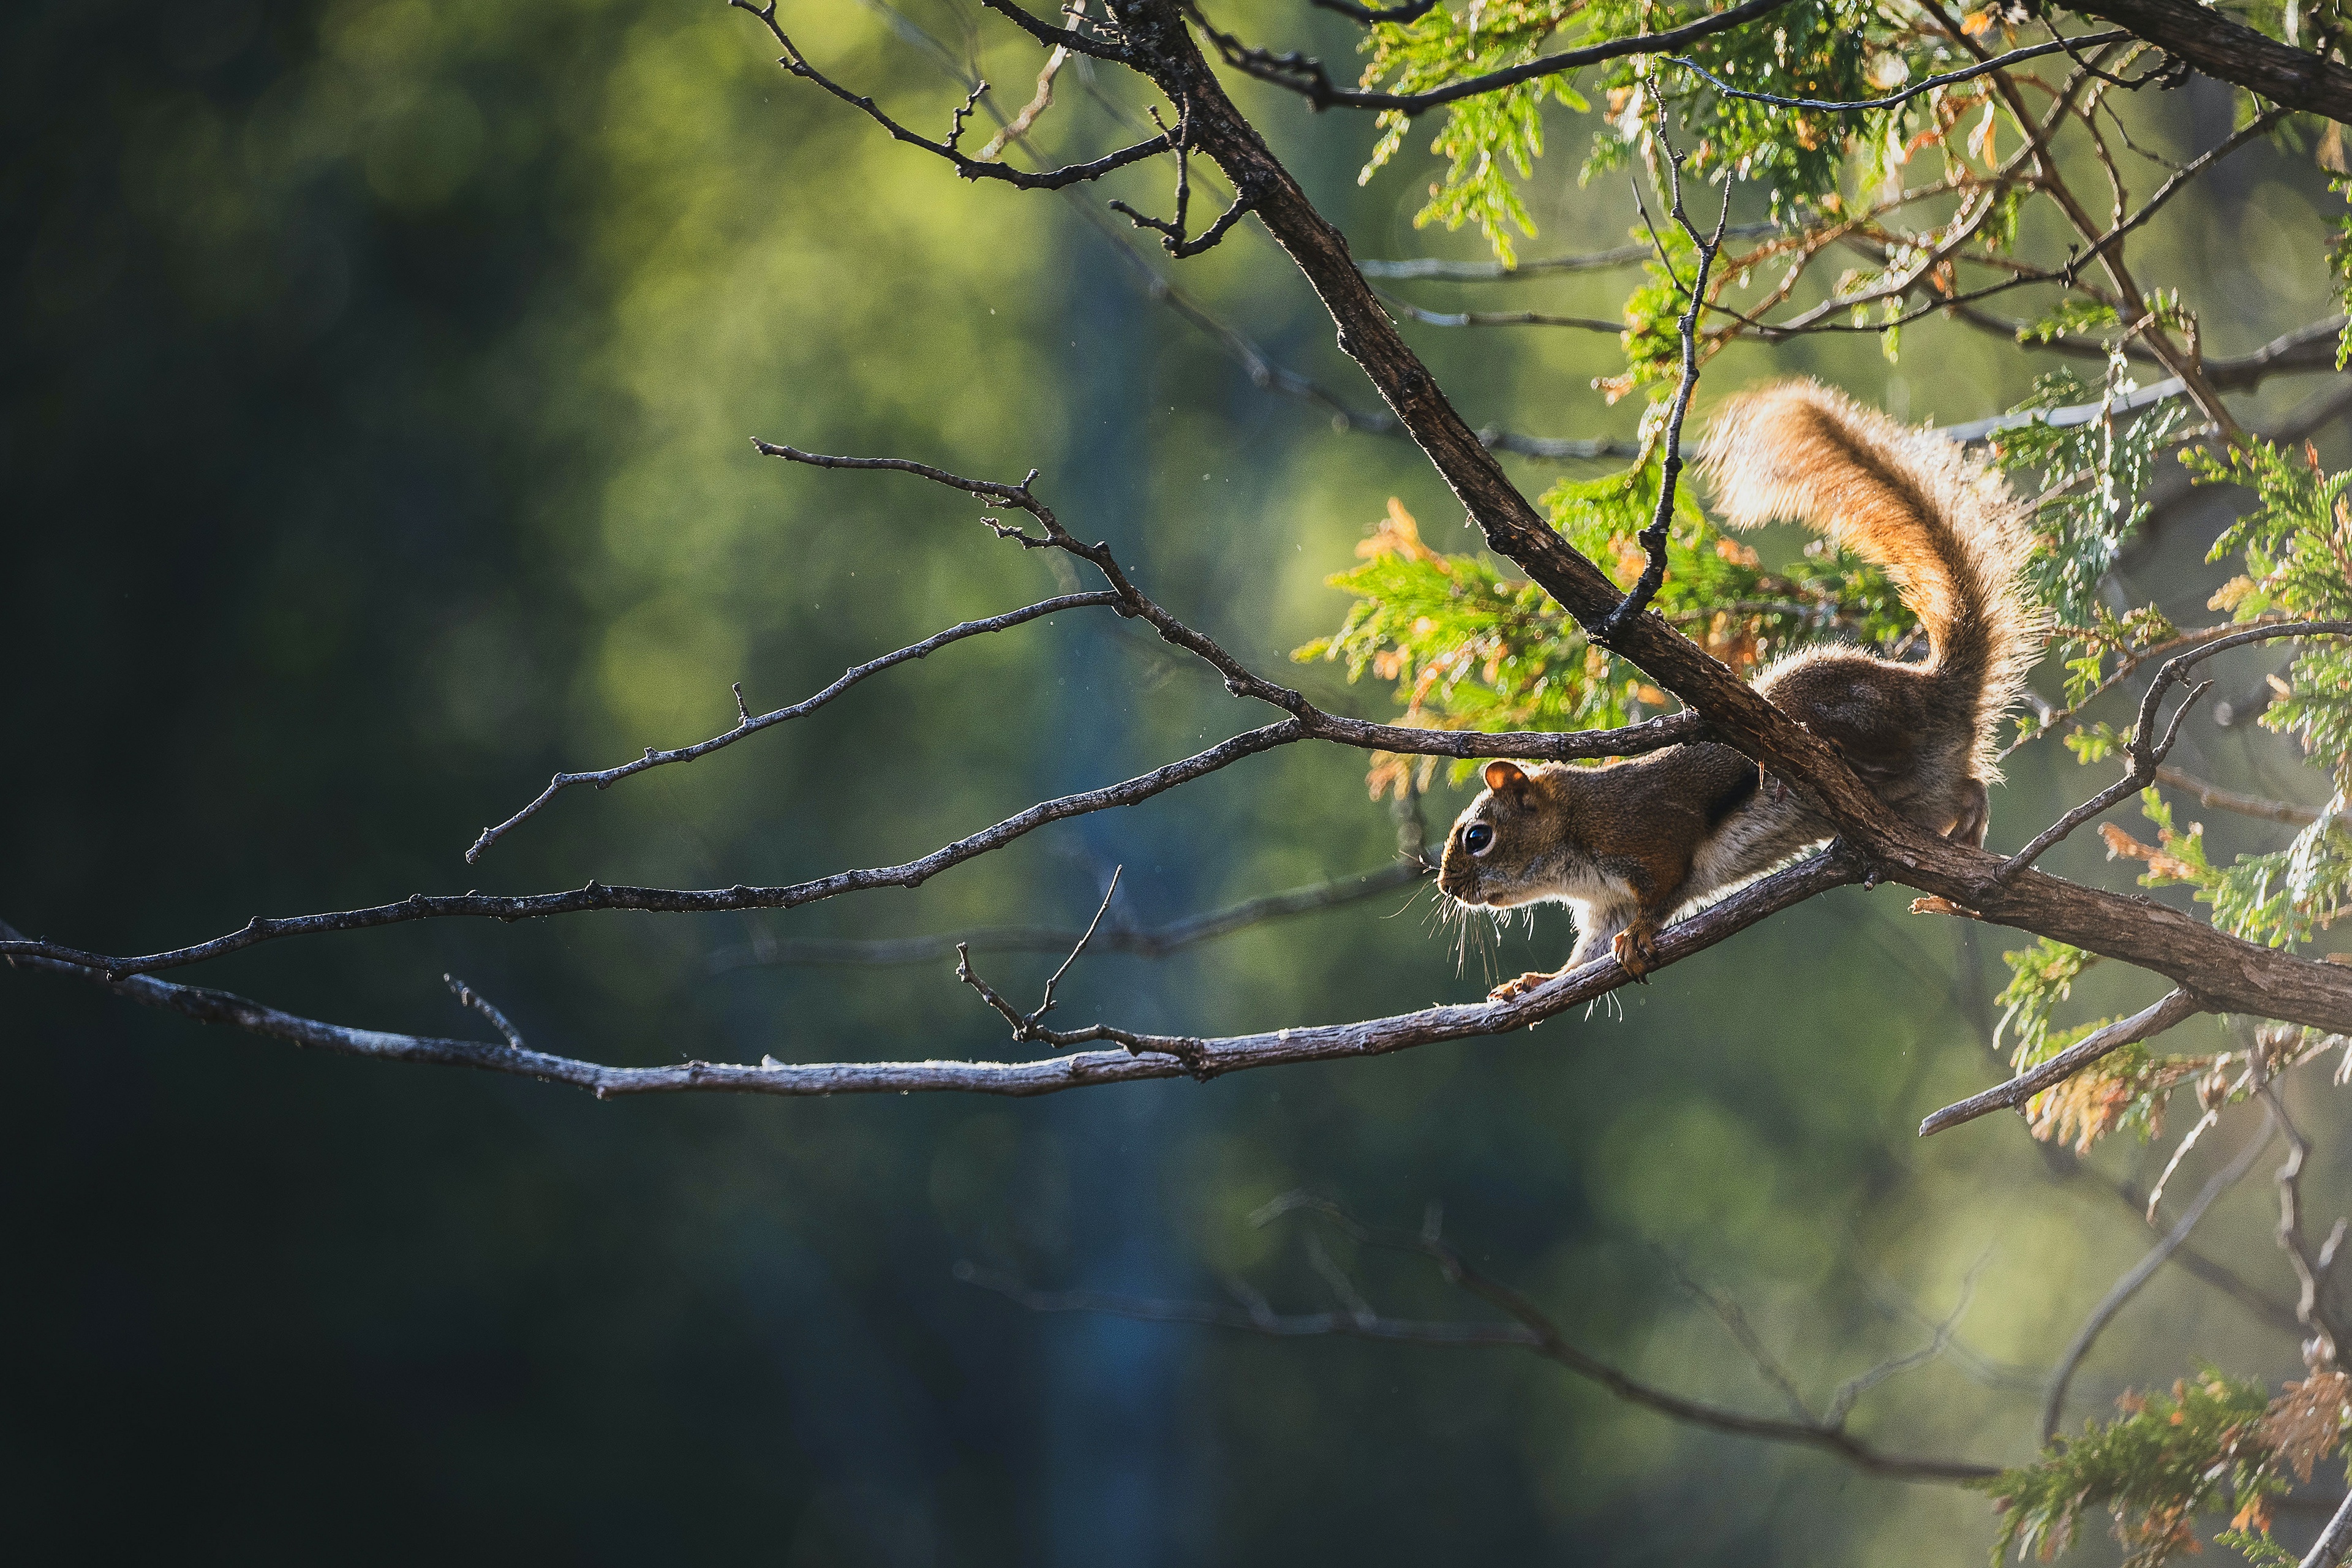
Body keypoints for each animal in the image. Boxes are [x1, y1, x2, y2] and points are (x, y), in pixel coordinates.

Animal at [1438, 379, 2045, 1000]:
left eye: (1478, 836)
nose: (1446, 887)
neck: (1574, 831)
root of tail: (1937, 692)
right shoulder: (1605, 907)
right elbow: (1581, 960)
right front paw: (1532, 982)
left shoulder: (1648, 834)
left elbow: (1660, 894)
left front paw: (1639, 937)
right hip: (1928, 795)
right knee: (1969, 789)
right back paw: (1967, 839)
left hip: (1839, 704)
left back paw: (1834, 759)